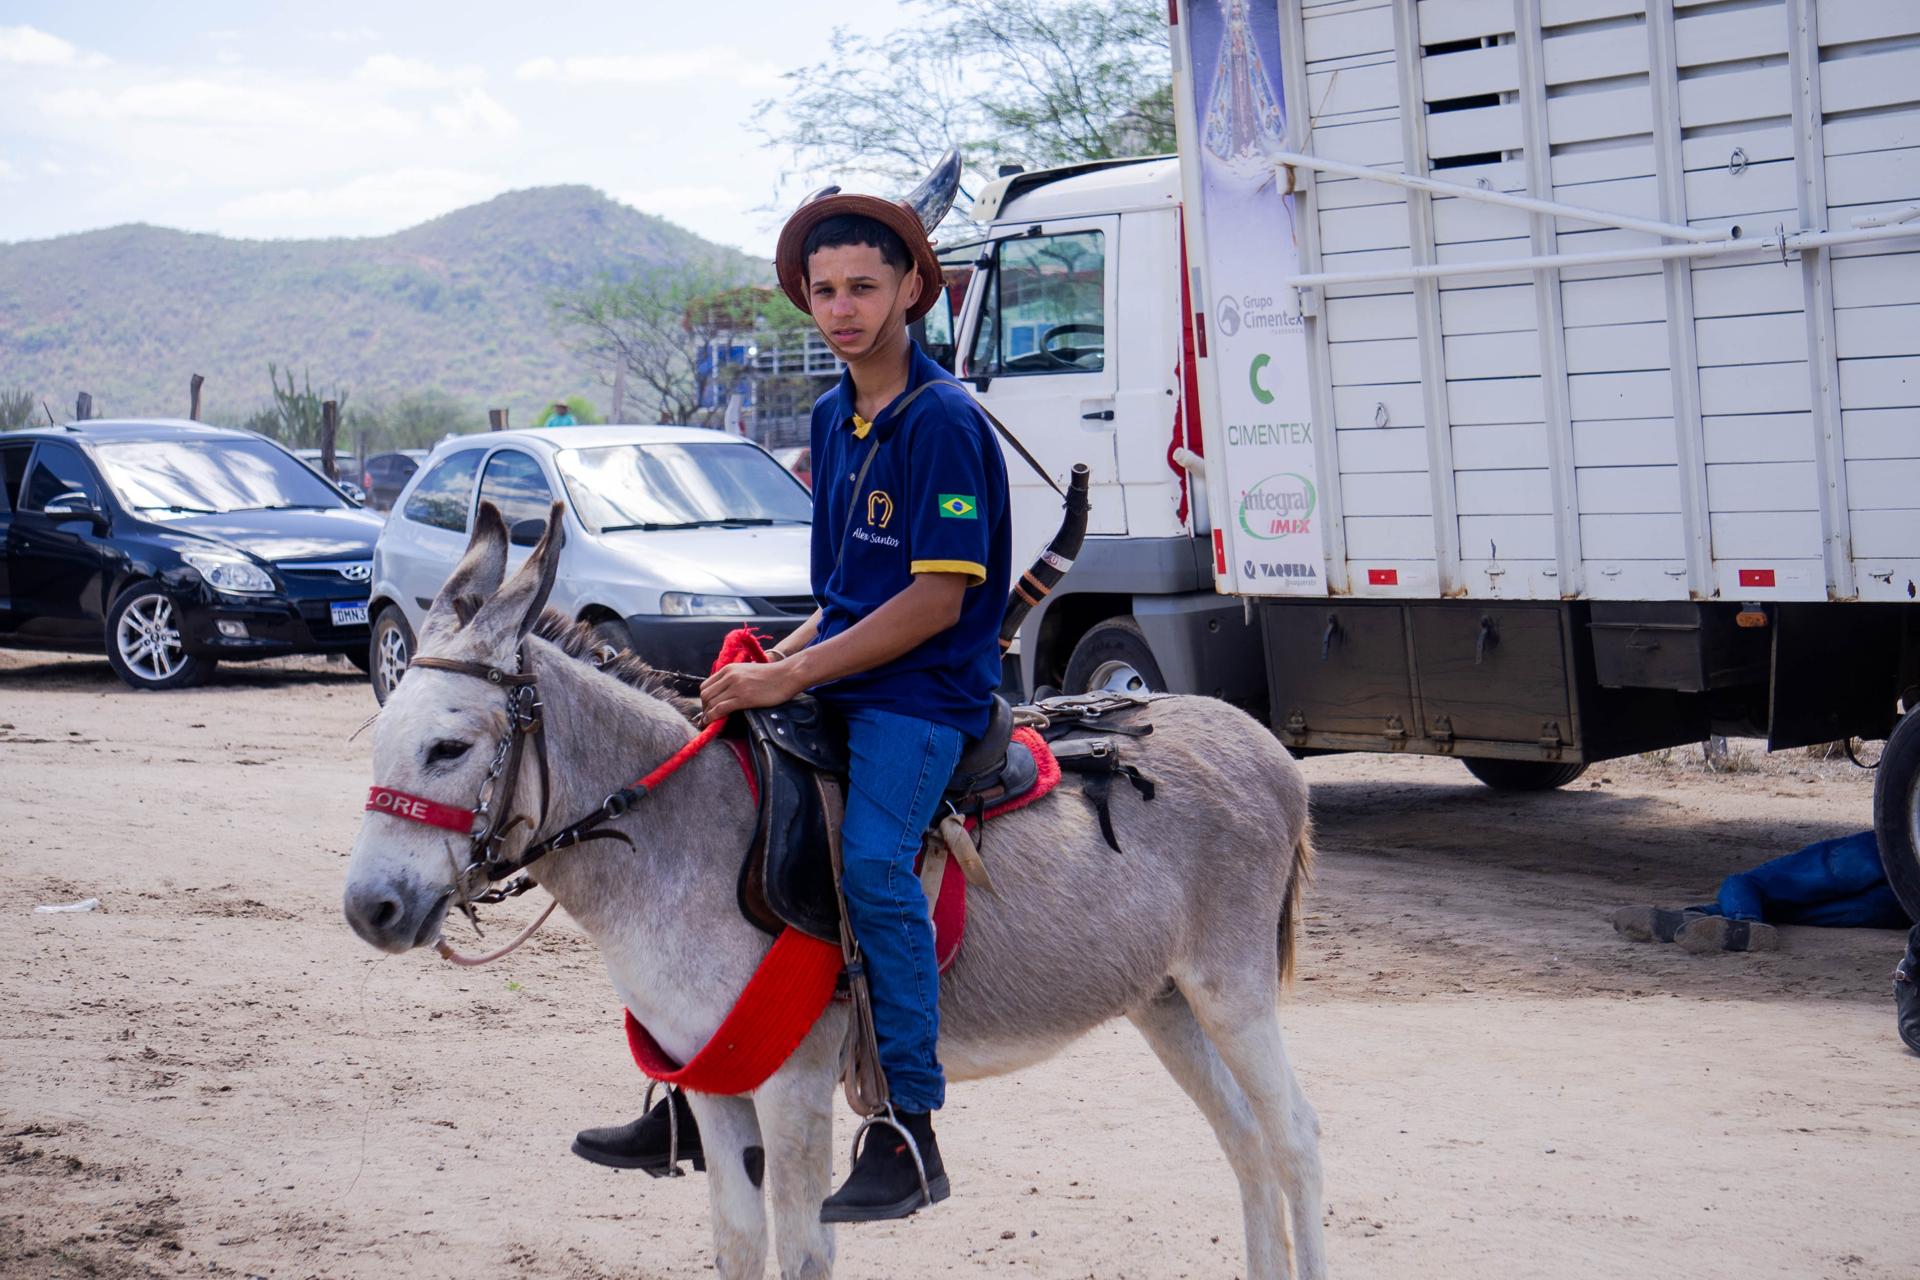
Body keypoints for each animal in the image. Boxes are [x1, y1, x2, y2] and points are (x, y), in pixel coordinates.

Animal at [341, 504, 1326, 1279]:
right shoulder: (715, 1086)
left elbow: (803, 1250)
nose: (369, 909)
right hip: (1165, 1000)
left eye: (449, 749)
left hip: (1230, 990)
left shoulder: (794, 1089)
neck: (683, 839)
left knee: (1294, 1141)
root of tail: (1264, 749)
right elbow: (738, 1246)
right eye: (380, 736)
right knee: (1244, 1142)